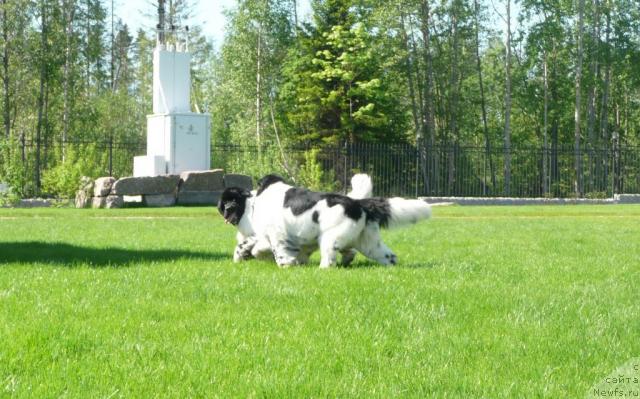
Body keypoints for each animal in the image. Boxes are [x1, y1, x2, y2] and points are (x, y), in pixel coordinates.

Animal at [218, 175, 432, 268]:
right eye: (225, 203)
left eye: (230, 201)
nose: (226, 210)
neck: (253, 203)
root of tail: (358, 203)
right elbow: (256, 248)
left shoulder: (276, 234)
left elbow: (274, 251)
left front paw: (286, 264)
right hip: (368, 242)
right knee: (388, 256)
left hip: (330, 238)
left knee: (329, 259)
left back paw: (323, 269)